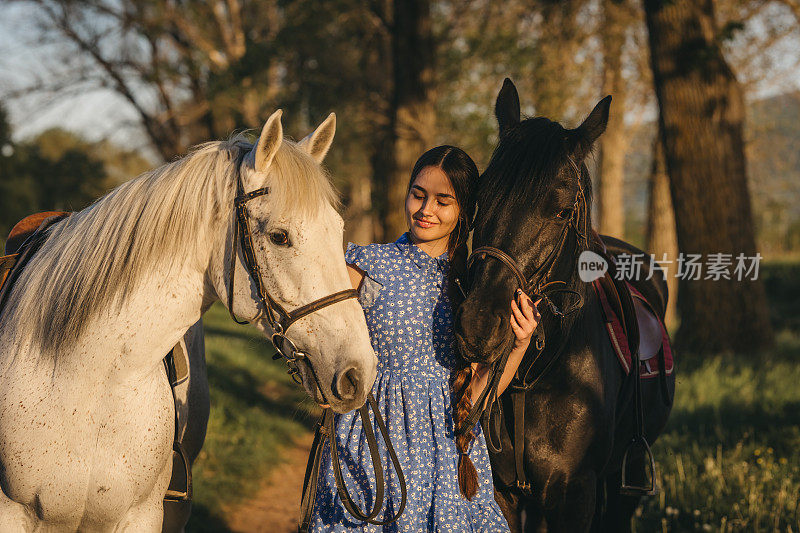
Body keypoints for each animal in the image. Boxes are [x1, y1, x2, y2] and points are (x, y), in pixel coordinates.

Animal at [456, 80, 676, 532]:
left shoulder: (576, 494)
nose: (478, 325)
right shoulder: (506, 495)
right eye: (480, 198)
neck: (536, 375)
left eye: (560, 211)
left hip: (622, 485)